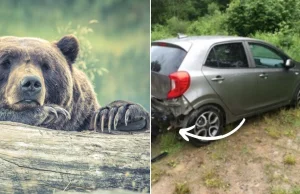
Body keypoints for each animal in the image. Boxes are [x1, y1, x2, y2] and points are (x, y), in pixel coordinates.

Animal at [0, 35, 149, 132]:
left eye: (45, 65)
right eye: (5, 62)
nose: (31, 83)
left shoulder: (82, 114)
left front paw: (116, 113)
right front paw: (51, 112)